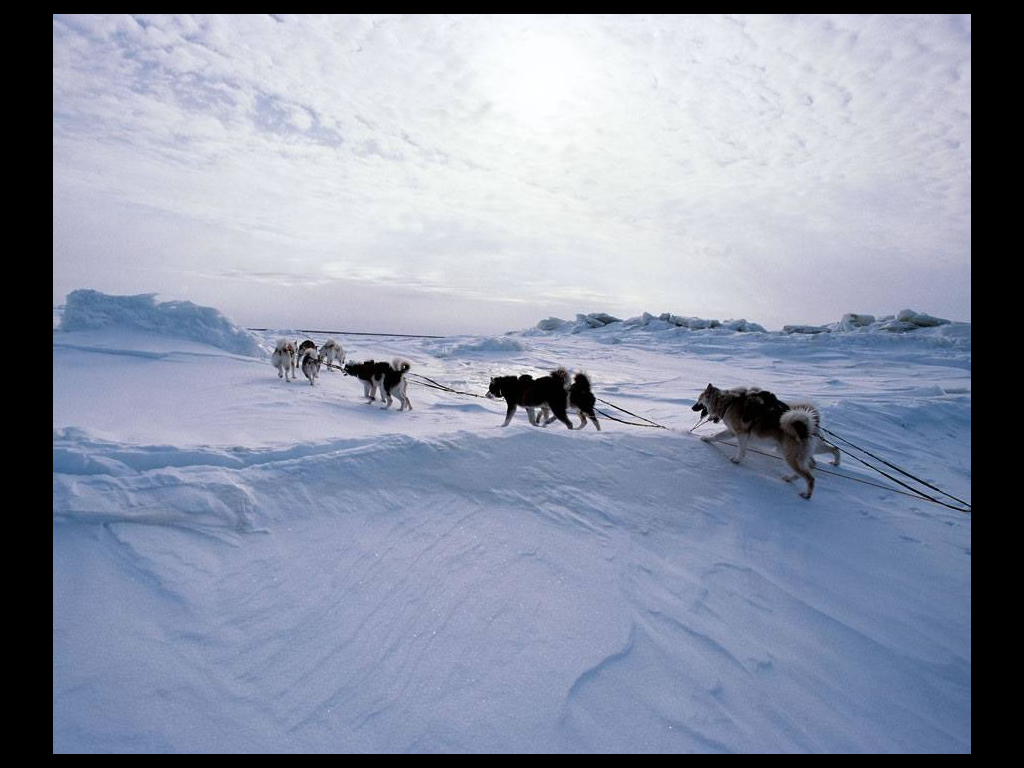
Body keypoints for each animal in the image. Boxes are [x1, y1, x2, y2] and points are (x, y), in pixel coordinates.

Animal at [696, 385, 839, 505]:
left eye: (699, 399)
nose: (692, 407)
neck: (727, 402)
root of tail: (808, 427)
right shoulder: (732, 432)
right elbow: (717, 436)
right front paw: (707, 438)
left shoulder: (742, 434)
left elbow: (741, 450)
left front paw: (736, 460)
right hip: (801, 452)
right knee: (828, 453)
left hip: (791, 457)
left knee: (810, 477)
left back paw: (806, 494)